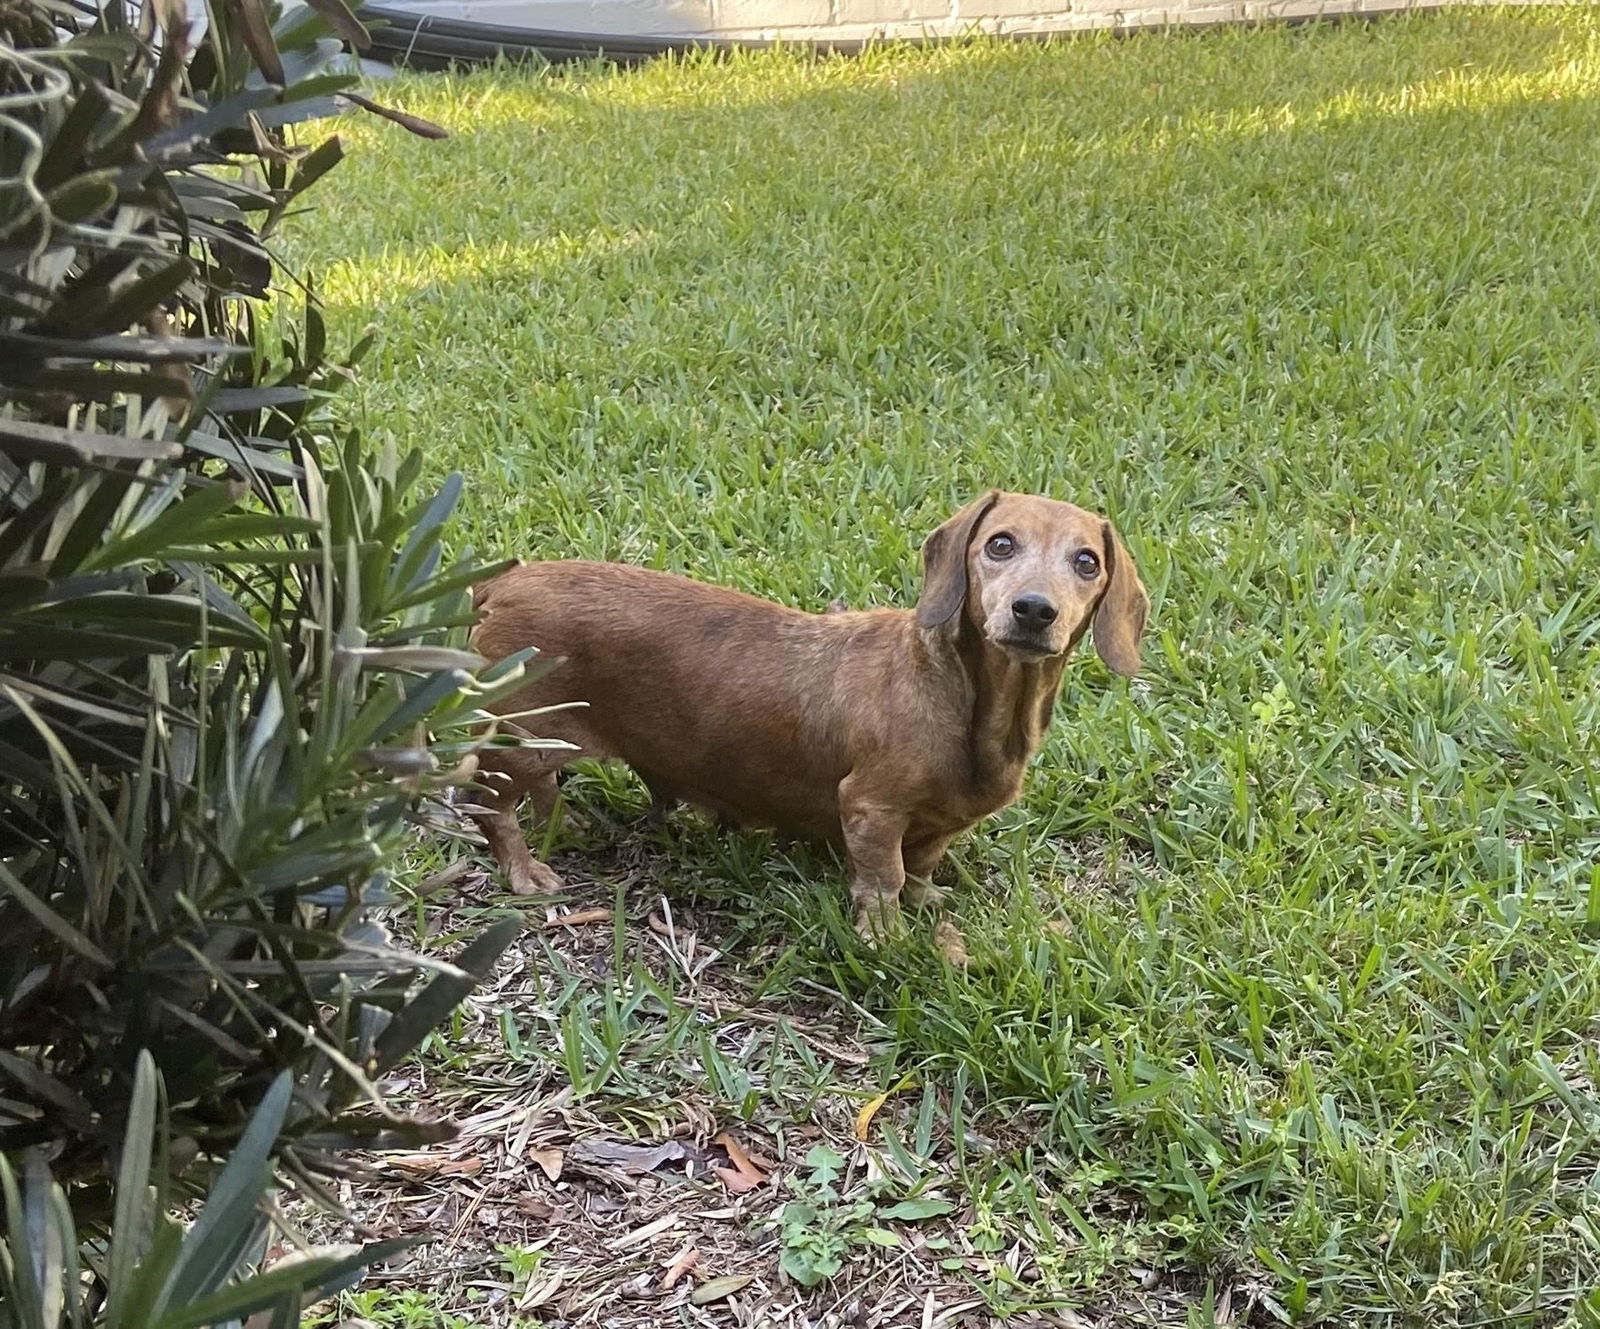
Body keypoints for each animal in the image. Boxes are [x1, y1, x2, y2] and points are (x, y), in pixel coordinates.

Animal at [467, 489, 1145, 933]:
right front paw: (887, 939)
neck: (964, 698)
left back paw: (569, 825)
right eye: (1000, 544)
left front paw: (927, 901)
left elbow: (922, 866)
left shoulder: (942, 825)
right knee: (491, 807)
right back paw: (526, 872)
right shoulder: (870, 809)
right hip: (522, 740)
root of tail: (498, 586)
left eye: (1087, 561)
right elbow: (884, 881)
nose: (1033, 610)